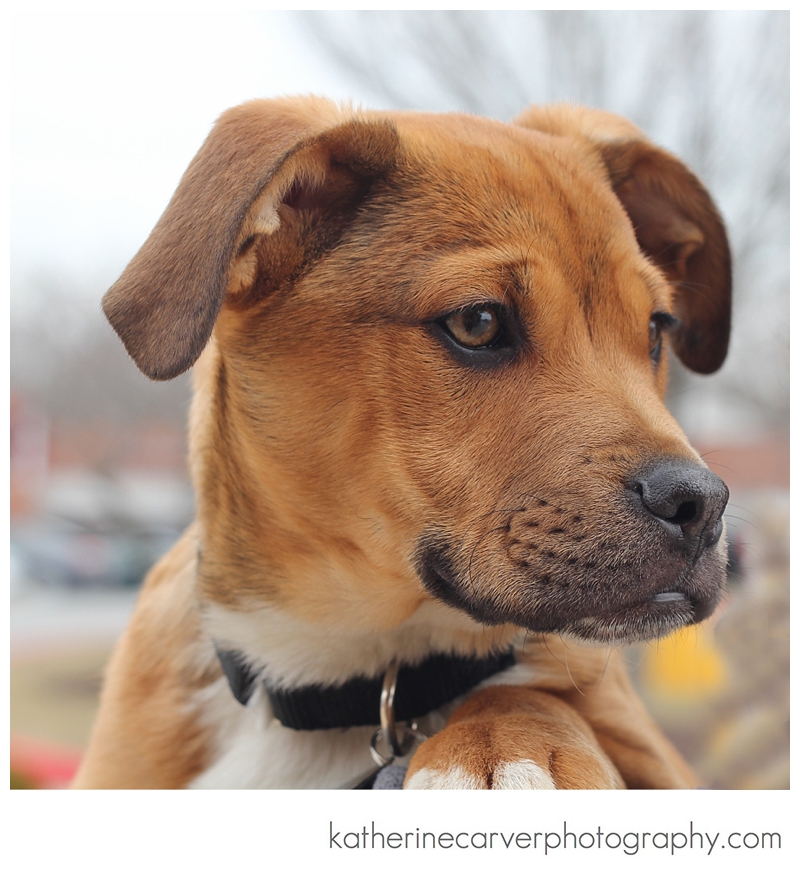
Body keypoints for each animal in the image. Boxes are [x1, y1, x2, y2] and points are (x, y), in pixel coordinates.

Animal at [73, 97, 730, 789]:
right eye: (477, 322)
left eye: (656, 328)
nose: (702, 506)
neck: (343, 681)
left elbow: (523, 692)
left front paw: (502, 746)